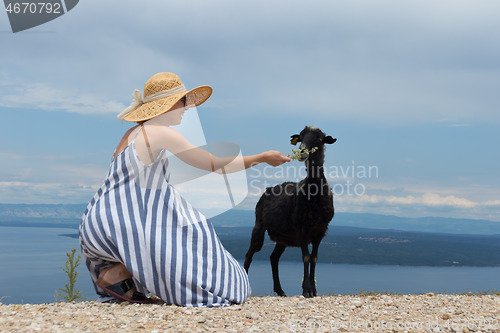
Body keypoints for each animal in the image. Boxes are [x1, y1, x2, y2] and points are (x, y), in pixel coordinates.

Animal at [243, 126, 336, 296]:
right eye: (301, 138)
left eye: (320, 140)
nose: (302, 151)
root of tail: (269, 189)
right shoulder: (301, 228)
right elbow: (306, 257)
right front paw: (307, 290)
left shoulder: (321, 231)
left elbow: (314, 258)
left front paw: (314, 290)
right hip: (259, 225)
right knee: (249, 254)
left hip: (283, 237)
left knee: (273, 258)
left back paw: (280, 291)